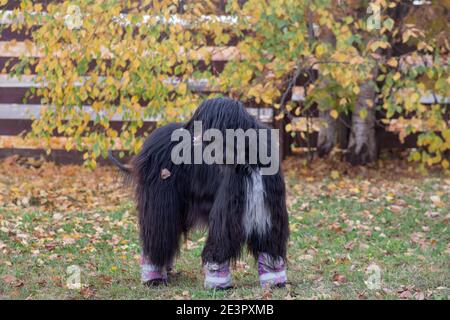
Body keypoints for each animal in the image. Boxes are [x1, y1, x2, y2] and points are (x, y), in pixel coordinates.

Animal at [110, 97, 290, 290]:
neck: (250, 161)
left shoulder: (268, 213)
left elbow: (269, 246)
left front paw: (274, 280)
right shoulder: (227, 213)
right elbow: (219, 243)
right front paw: (217, 283)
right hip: (161, 200)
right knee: (157, 234)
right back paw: (153, 277)